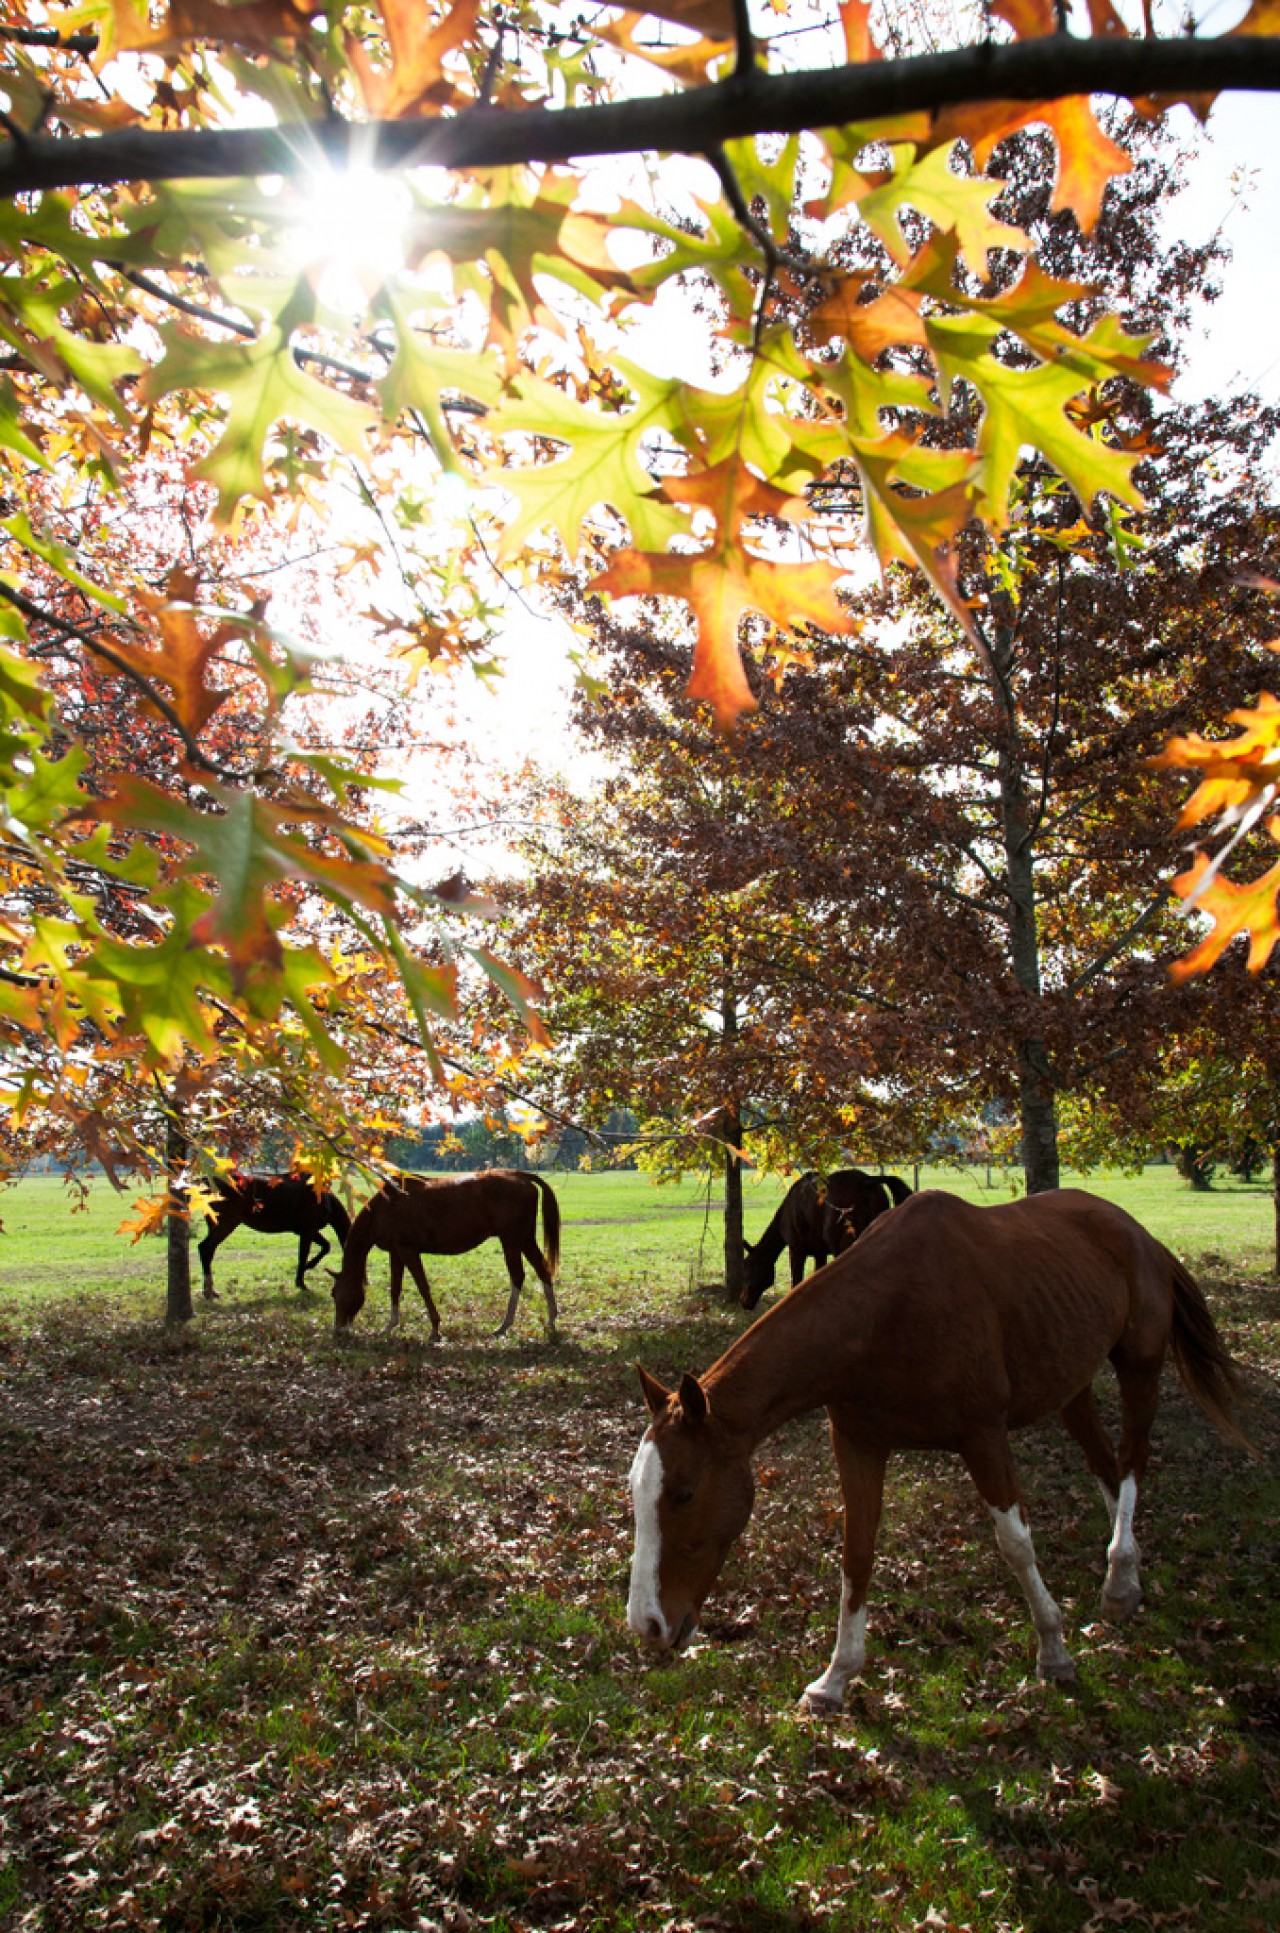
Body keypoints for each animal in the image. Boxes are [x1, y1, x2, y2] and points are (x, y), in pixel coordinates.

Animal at [195, 1159, 348, 1298]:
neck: (325, 1200)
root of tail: (206, 1181)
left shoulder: (307, 1230)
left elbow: (325, 1246)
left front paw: (306, 1271)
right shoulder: (307, 1229)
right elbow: (304, 1255)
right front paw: (302, 1281)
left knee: (207, 1249)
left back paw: (209, 1291)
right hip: (225, 1223)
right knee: (206, 1248)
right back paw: (209, 1292)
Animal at [336, 1159, 560, 1345]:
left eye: (336, 1293)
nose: (338, 1330)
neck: (386, 1206)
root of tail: (520, 1175)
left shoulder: (408, 1251)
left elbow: (423, 1287)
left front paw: (435, 1329)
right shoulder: (396, 1253)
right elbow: (395, 1288)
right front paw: (389, 1326)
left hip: (511, 1240)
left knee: (517, 1276)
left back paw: (505, 1325)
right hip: (525, 1240)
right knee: (542, 1270)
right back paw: (551, 1319)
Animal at [634, 1182, 1252, 1716]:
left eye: (684, 1493)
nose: (647, 1626)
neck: (886, 1312)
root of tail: (1139, 1233)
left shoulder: (983, 1436)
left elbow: (1015, 1544)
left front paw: (1053, 1651)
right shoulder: (858, 1443)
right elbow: (856, 1556)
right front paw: (834, 1679)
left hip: (1139, 1367)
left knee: (1131, 1465)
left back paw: (1120, 1581)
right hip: (1071, 1388)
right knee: (1106, 1468)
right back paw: (1126, 1576)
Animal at [742, 1159, 912, 1314]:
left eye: (748, 1266)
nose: (744, 1302)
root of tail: (866, 1181)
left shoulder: (796, 1249)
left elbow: (796, 1283)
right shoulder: (820, 1253)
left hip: (843, 1244)